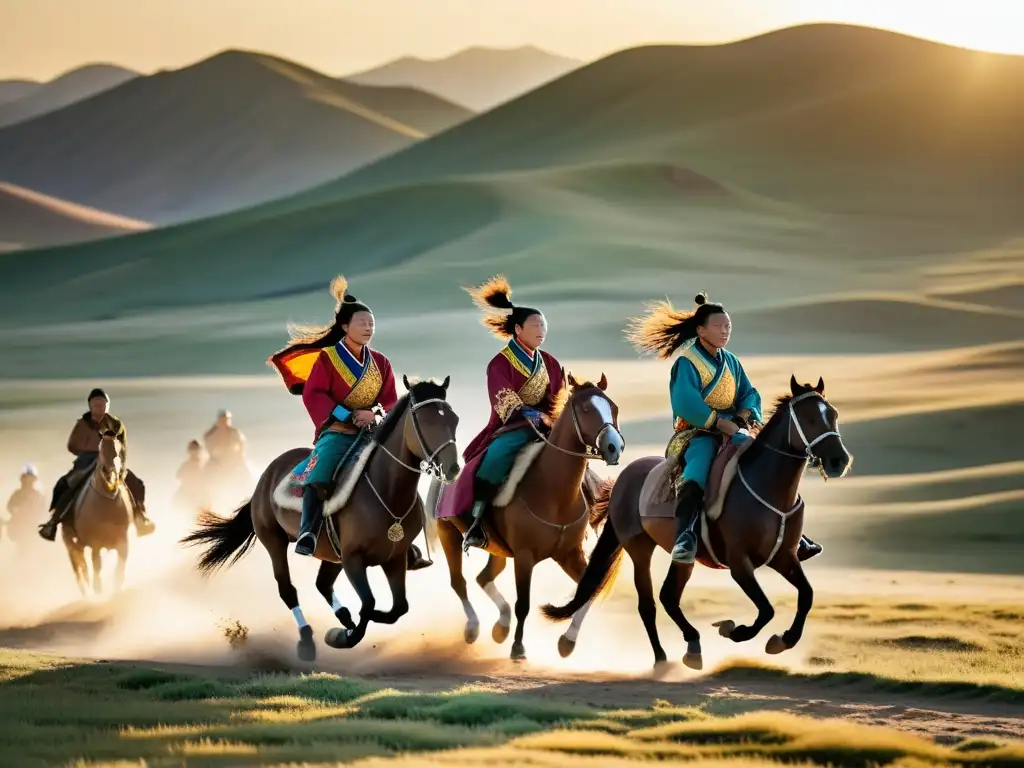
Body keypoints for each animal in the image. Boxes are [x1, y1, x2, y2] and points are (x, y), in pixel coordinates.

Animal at [182, 378, 458, 663]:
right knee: (288, 589)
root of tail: (267, 475)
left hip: (331, 553)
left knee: (323, 584)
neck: (387, 491)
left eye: (454, 419)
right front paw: (344, 636)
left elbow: (397, 608)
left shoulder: (394, 557)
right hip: (274, 540)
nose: (452, 469)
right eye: (426, 422)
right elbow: (369, 604)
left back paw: (344, 618)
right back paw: (308, 640)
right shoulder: (353, 559)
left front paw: (347, 628)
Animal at [423, 374, 622, 663]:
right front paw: (518, 648)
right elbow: (524, 604)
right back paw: (473, 627)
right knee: (459, 582)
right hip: (448, 532)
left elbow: (587, 593)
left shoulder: (570, 553)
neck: (554, 493)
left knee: (483, 577)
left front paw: (567, 642)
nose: (614, 446)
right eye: (586, 409)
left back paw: (501, 626)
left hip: (497, 548)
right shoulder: (525, 556)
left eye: (614, 408)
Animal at [540, 376, 851, 671]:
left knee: (668, 596)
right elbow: (766, 610)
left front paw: (783, 640)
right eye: (809, 418)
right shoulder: (740, 563)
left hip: (684, 557)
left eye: (833, 414)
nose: (838, 460)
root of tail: (624, 478)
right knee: (648, 604)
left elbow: (806, 595)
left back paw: (692, 646)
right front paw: (734, 630)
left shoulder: (784, 557)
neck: (769, 491)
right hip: (639, 549)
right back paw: (661, 658)